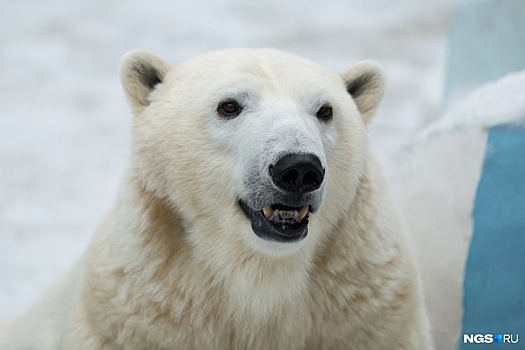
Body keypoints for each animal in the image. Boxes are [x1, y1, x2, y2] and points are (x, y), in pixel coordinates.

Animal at [2, 47, 432, 348]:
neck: (260, 272)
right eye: (229, 106)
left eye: (325, 110)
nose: (298, 168)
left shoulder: (365, 313)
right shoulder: (140, 314)